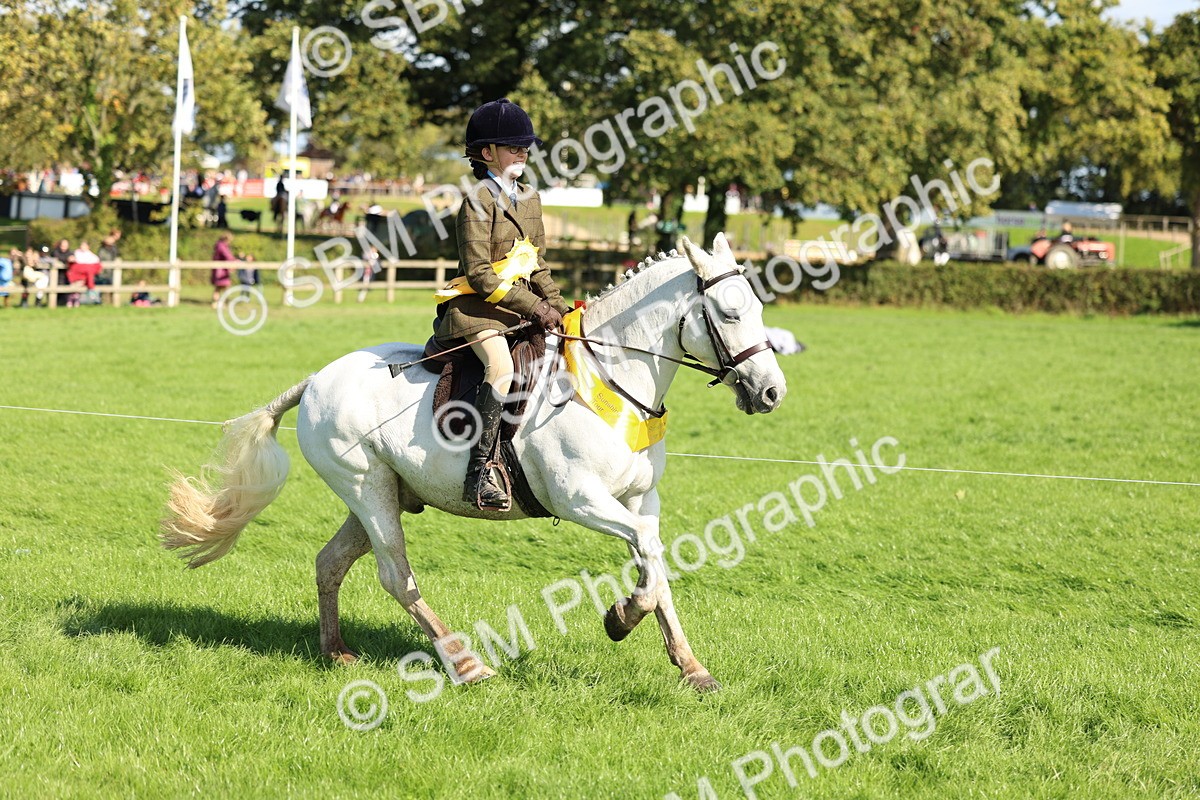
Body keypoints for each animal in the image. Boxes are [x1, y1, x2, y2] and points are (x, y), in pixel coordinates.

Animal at [161, 233, 787, 692]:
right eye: (729, 314)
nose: (771, 392)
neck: (611, 382)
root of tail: (316, 379)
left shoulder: (640, 500)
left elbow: (656, 563)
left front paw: (690, 667)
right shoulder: (581, 500)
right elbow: (649, 567)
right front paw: (620, 617)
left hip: (383, 492)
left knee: (330, 562)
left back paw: (336, 652)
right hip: (366, 488)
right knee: (396, 575)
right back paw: (465, 664)